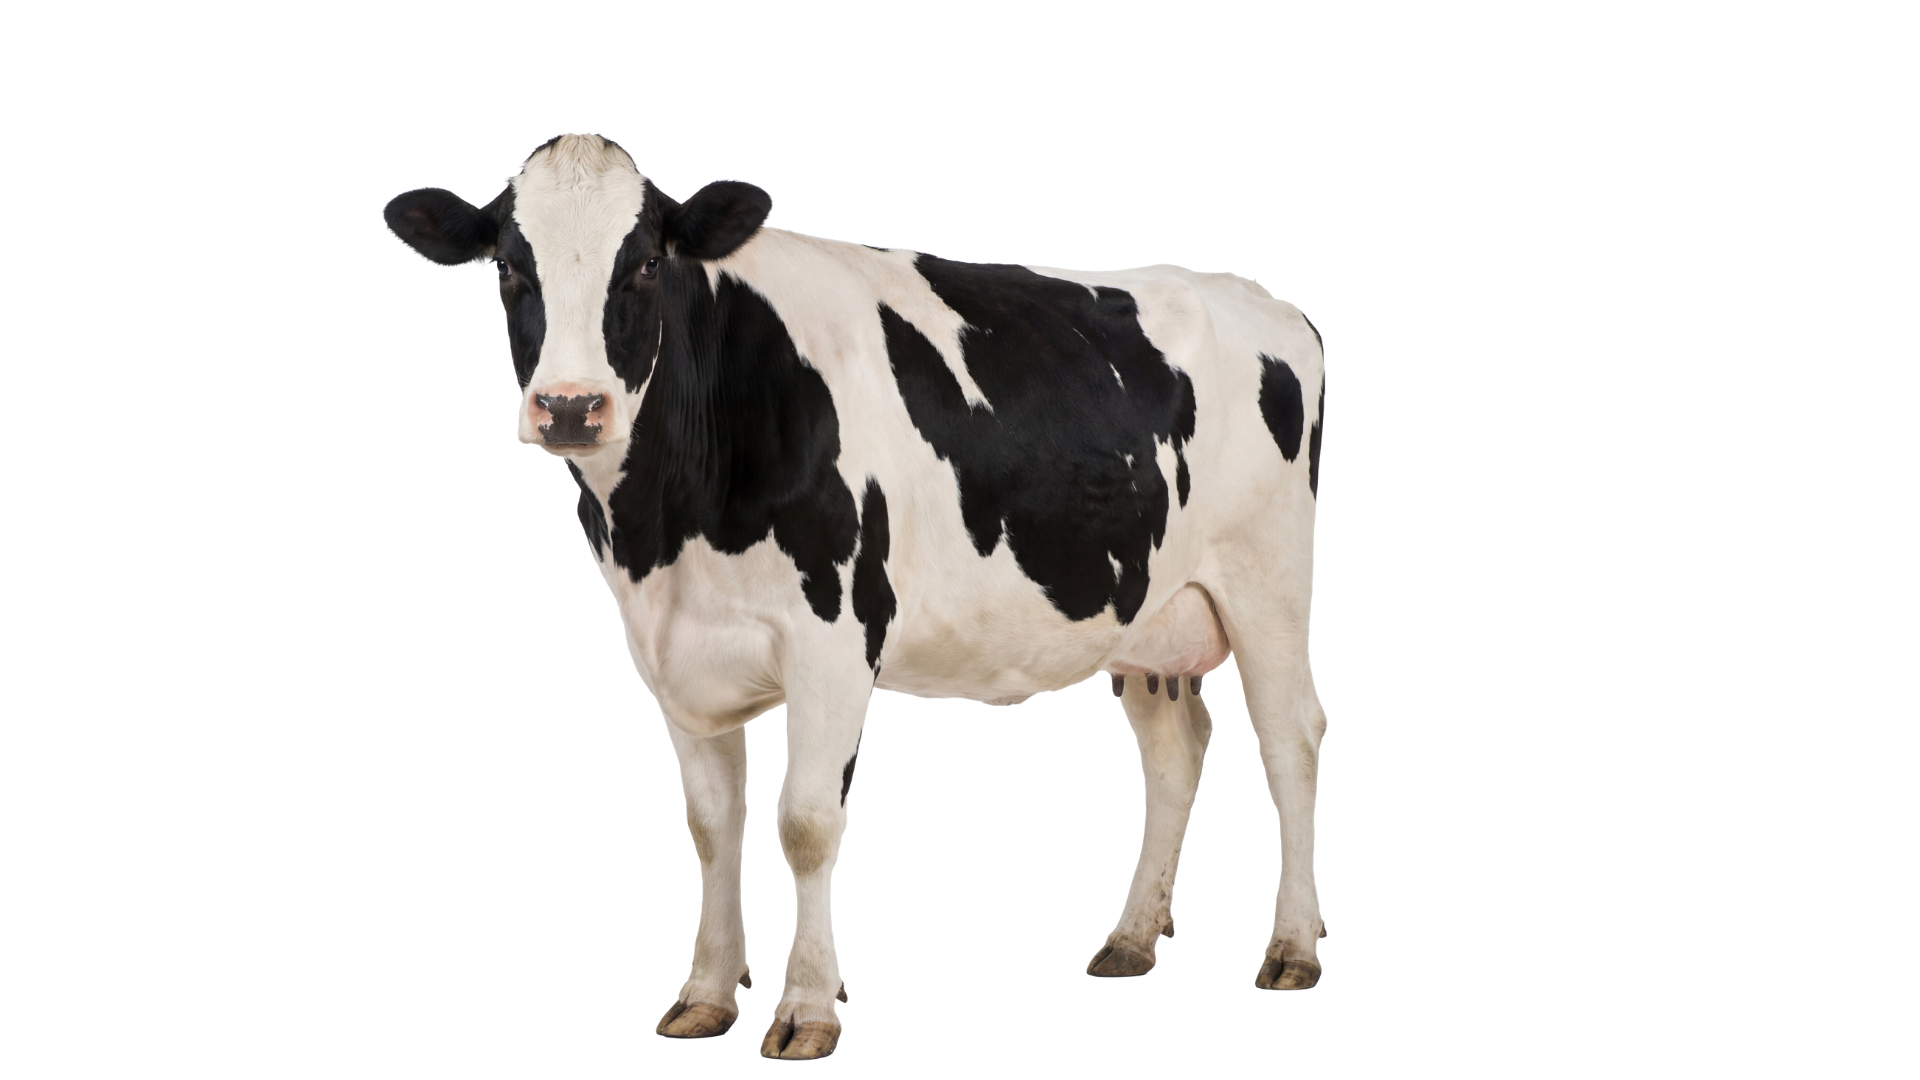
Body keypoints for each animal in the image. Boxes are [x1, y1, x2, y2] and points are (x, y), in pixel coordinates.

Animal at [382, 133, 1328, 1060]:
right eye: (509, 267)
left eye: (648, 262)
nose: (572, 408)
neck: (666, 522)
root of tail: (1260, 299)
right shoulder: (672, 651)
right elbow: (710, 824)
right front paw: (706, 994)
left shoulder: (833, 639)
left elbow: (804, 822)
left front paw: (807, 1008)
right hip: (1147, 612)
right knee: (1176, 749)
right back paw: (1130, 937)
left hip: (1269, 581)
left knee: (1290, 740)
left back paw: (1292, 946)